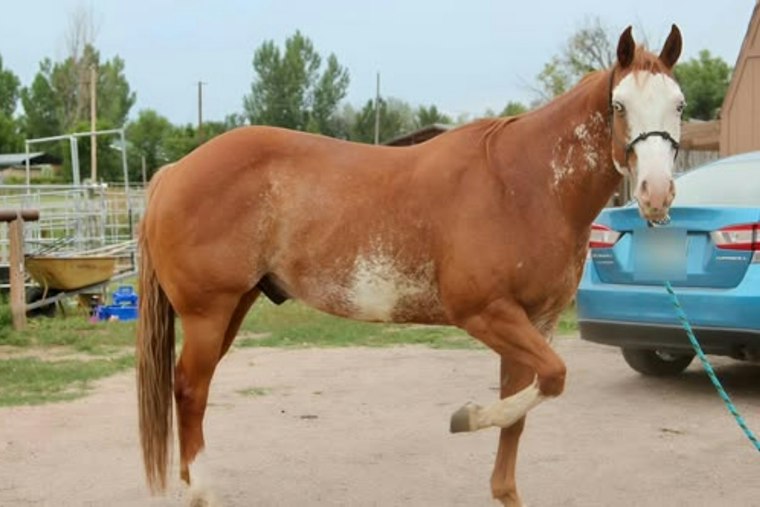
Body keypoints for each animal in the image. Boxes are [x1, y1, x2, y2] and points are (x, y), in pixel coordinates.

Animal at [137, 25, 684, 506]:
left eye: (678, 105)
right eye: (619, 106)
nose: (656, 194)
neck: (523, 186)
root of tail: (174, 171)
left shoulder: (534, 323)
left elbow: (525, 404)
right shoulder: (487, 313)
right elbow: (552, 377)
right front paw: (465, 417)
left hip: (233, 308)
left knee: (191, 388)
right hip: (209, 313)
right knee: (190, 389)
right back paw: (203, 492)